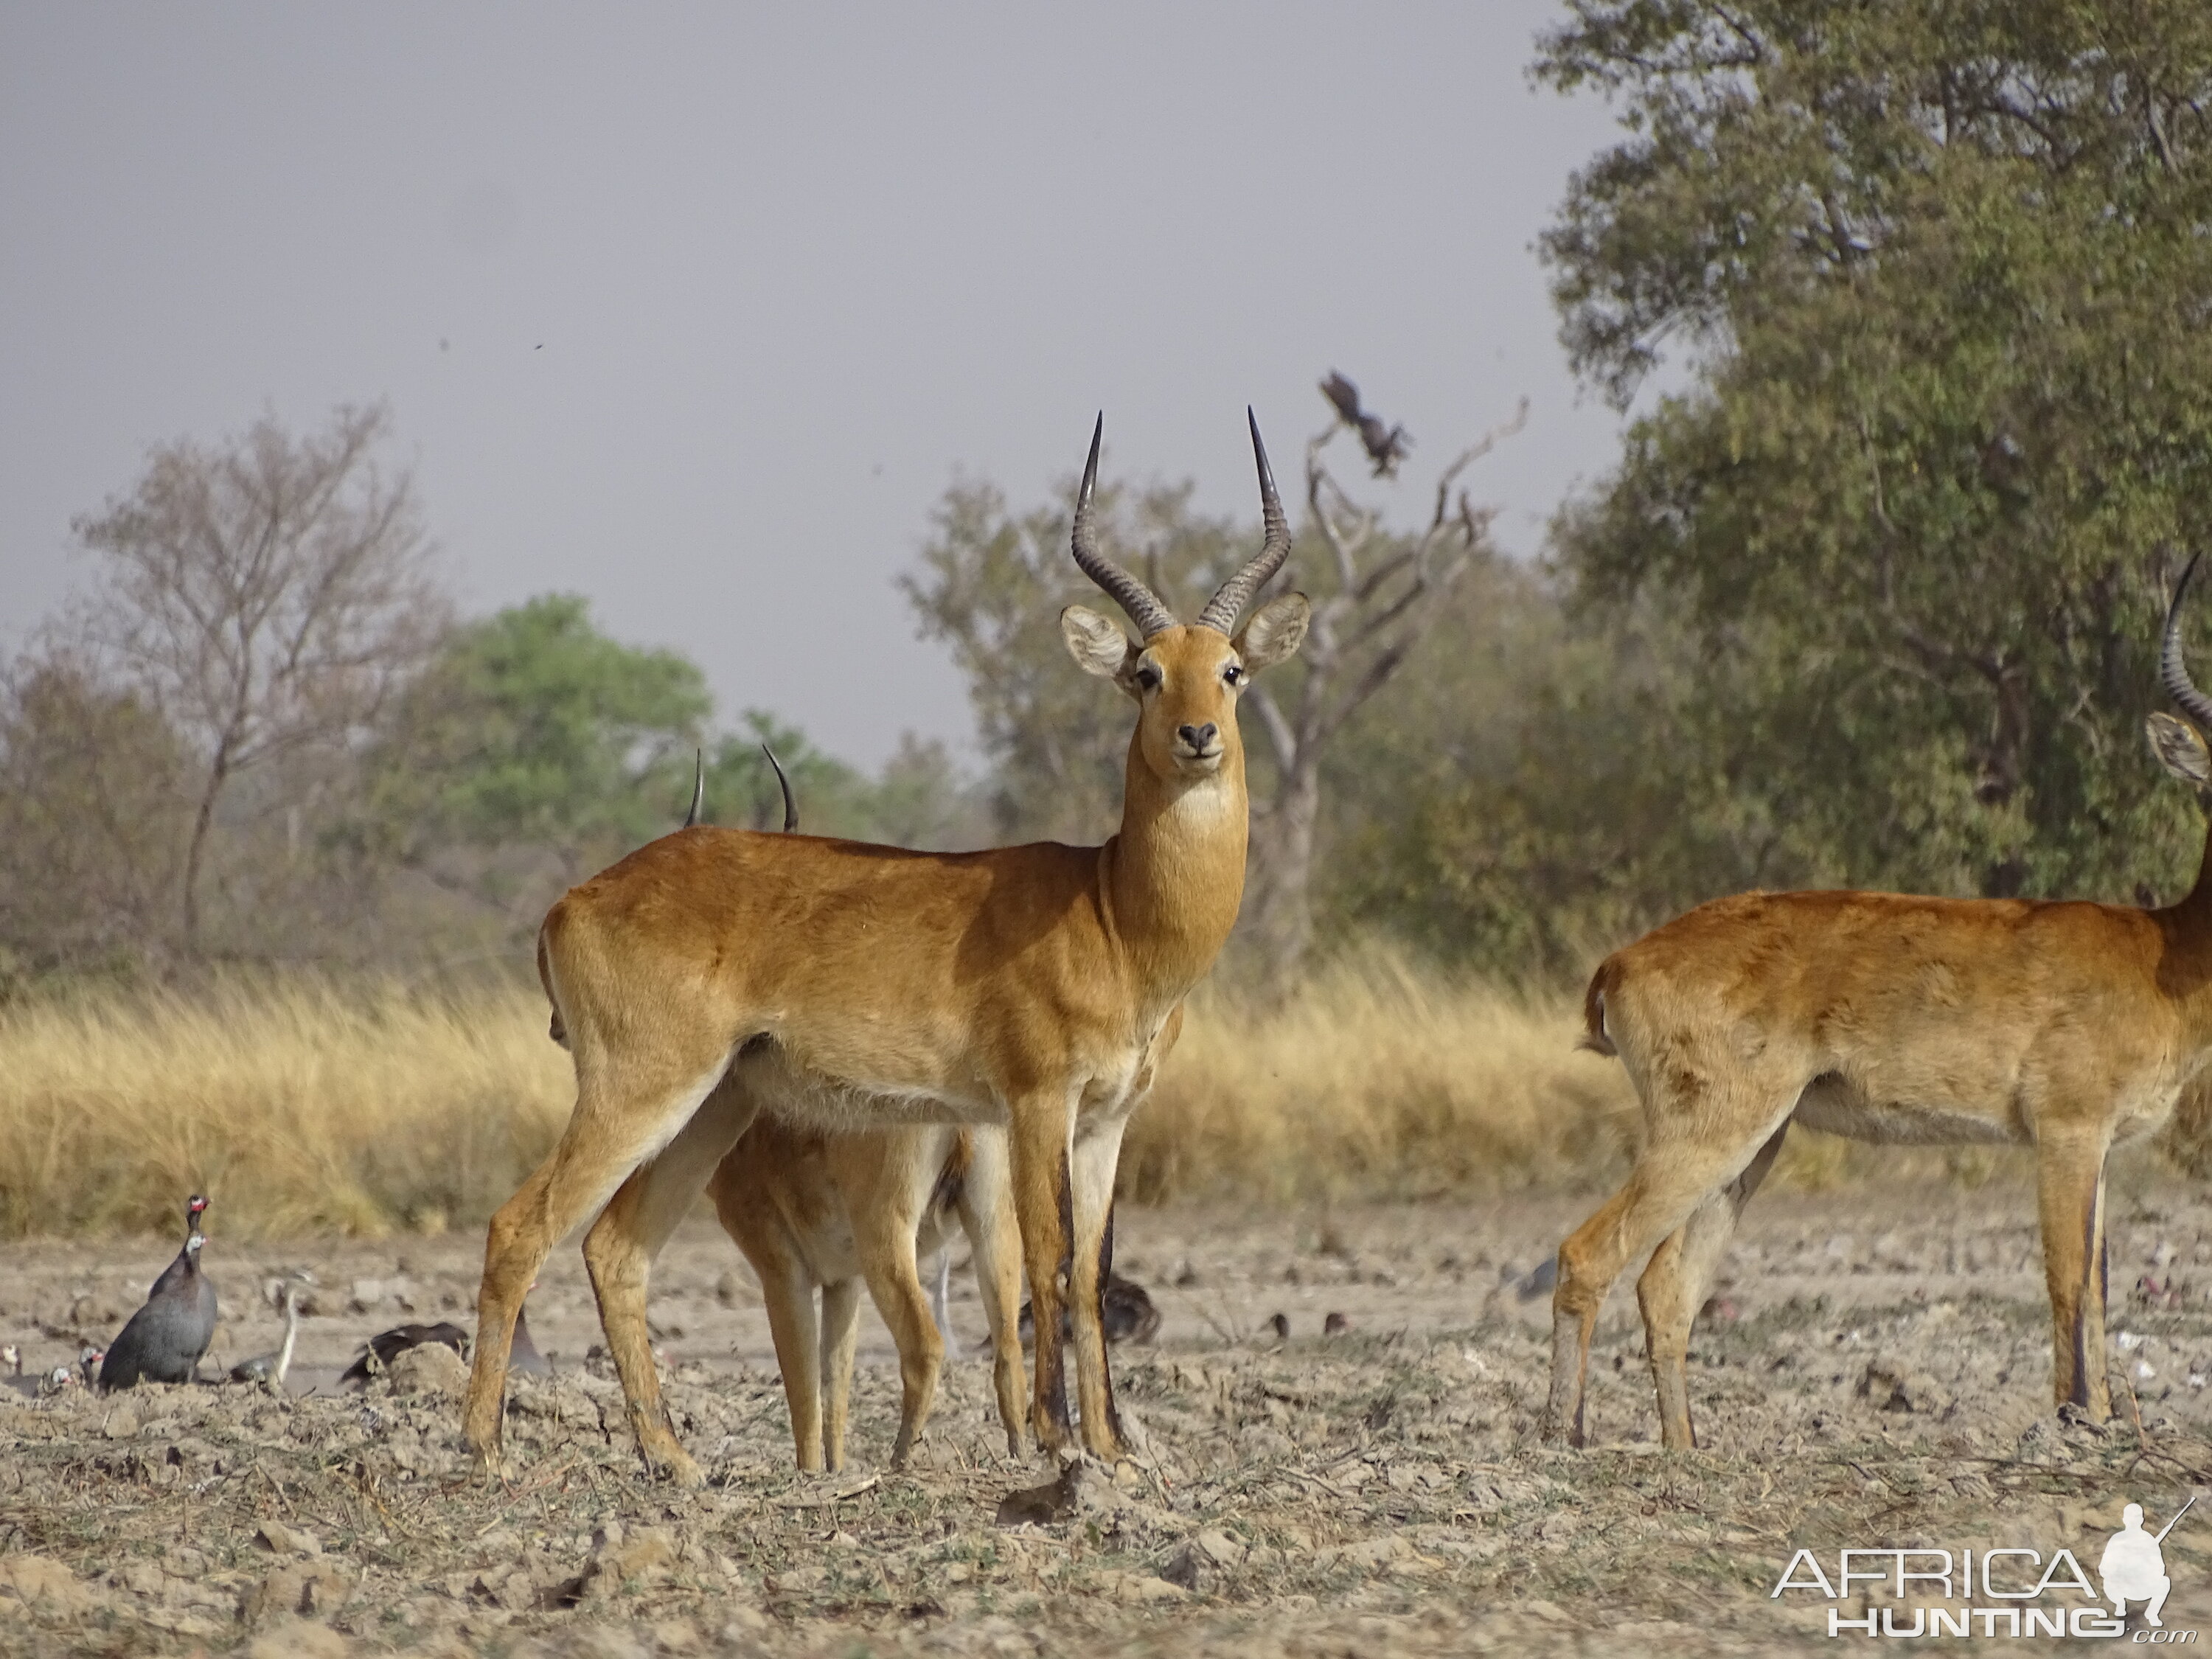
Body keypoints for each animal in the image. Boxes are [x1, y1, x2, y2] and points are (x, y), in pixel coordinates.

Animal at [458, 416, 1301, 1478]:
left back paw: (674, 1463)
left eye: (1232, 669)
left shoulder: (1108, 1119)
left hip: (713, 1104)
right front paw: (1057, 1439)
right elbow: (1054, 1257)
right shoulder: (1035, 1103)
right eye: (1145, 671)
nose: (1197, 736)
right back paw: (483, 1449)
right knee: (518, 1226)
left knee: (616, 1249)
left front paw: (1110, 1447)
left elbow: (1093, 1273)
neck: (1111, 908)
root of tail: (573, 900)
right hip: (639, 1091)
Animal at [1548, 553, 2212, 1451]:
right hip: (1713, 1135)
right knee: (1588, 1255)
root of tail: (1621, 960)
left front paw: (2100, 1423)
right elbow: (2070, 1282)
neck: (2163, 951)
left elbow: (2102, 1289)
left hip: (1755, 1145)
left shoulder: (2100, 1148)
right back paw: (1561, 1443)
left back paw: (1685, 1456)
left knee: (1666, 1289)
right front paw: (2076, 1424)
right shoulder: (2067, 1133)